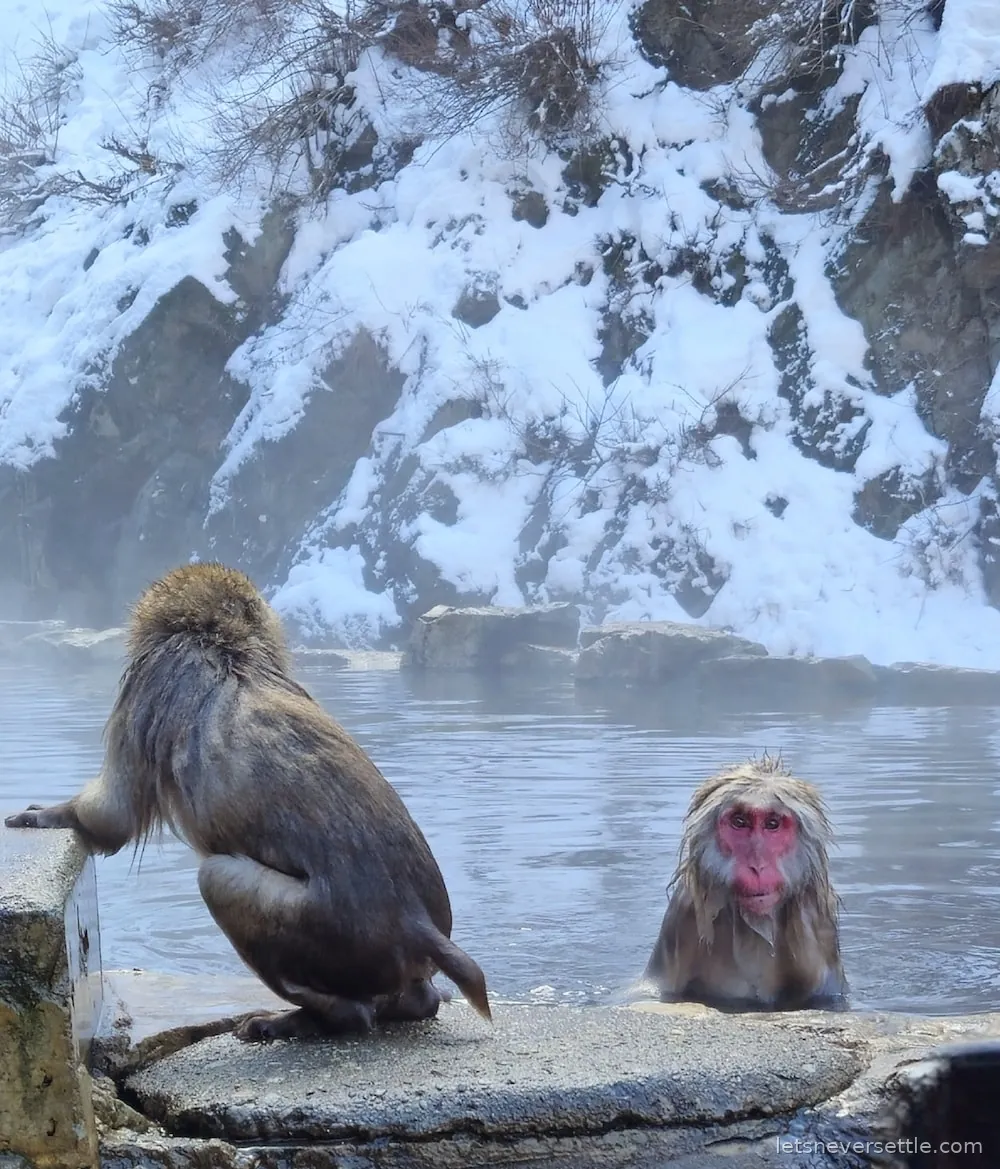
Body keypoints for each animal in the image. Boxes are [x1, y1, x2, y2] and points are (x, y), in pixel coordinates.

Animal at [5, 561, 492, 1042]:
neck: (225, 644)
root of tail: (417, 924)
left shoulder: (144, 687)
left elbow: (114, 814)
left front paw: (51, 815)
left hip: (330, 935)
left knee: (218, 877)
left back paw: (325, 1017)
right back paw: (413, 1004)